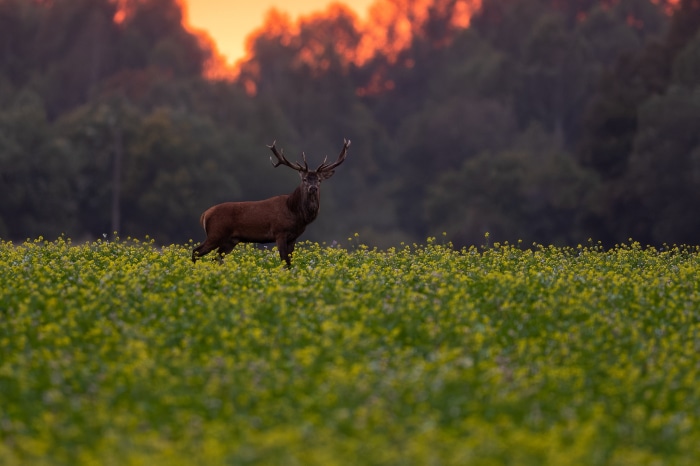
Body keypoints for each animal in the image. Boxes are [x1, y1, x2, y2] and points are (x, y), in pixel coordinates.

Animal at [192, 139, 350, 267]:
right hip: (215, 233)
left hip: (230, 240)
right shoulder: (279, 232)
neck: (295, 212)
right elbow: (284, 261)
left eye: (319, 180)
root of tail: (204, 215)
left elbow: (290, 262)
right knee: (196, 251)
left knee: (216, 258)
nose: (313, 188)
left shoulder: (293, 237)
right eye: (304, 179)